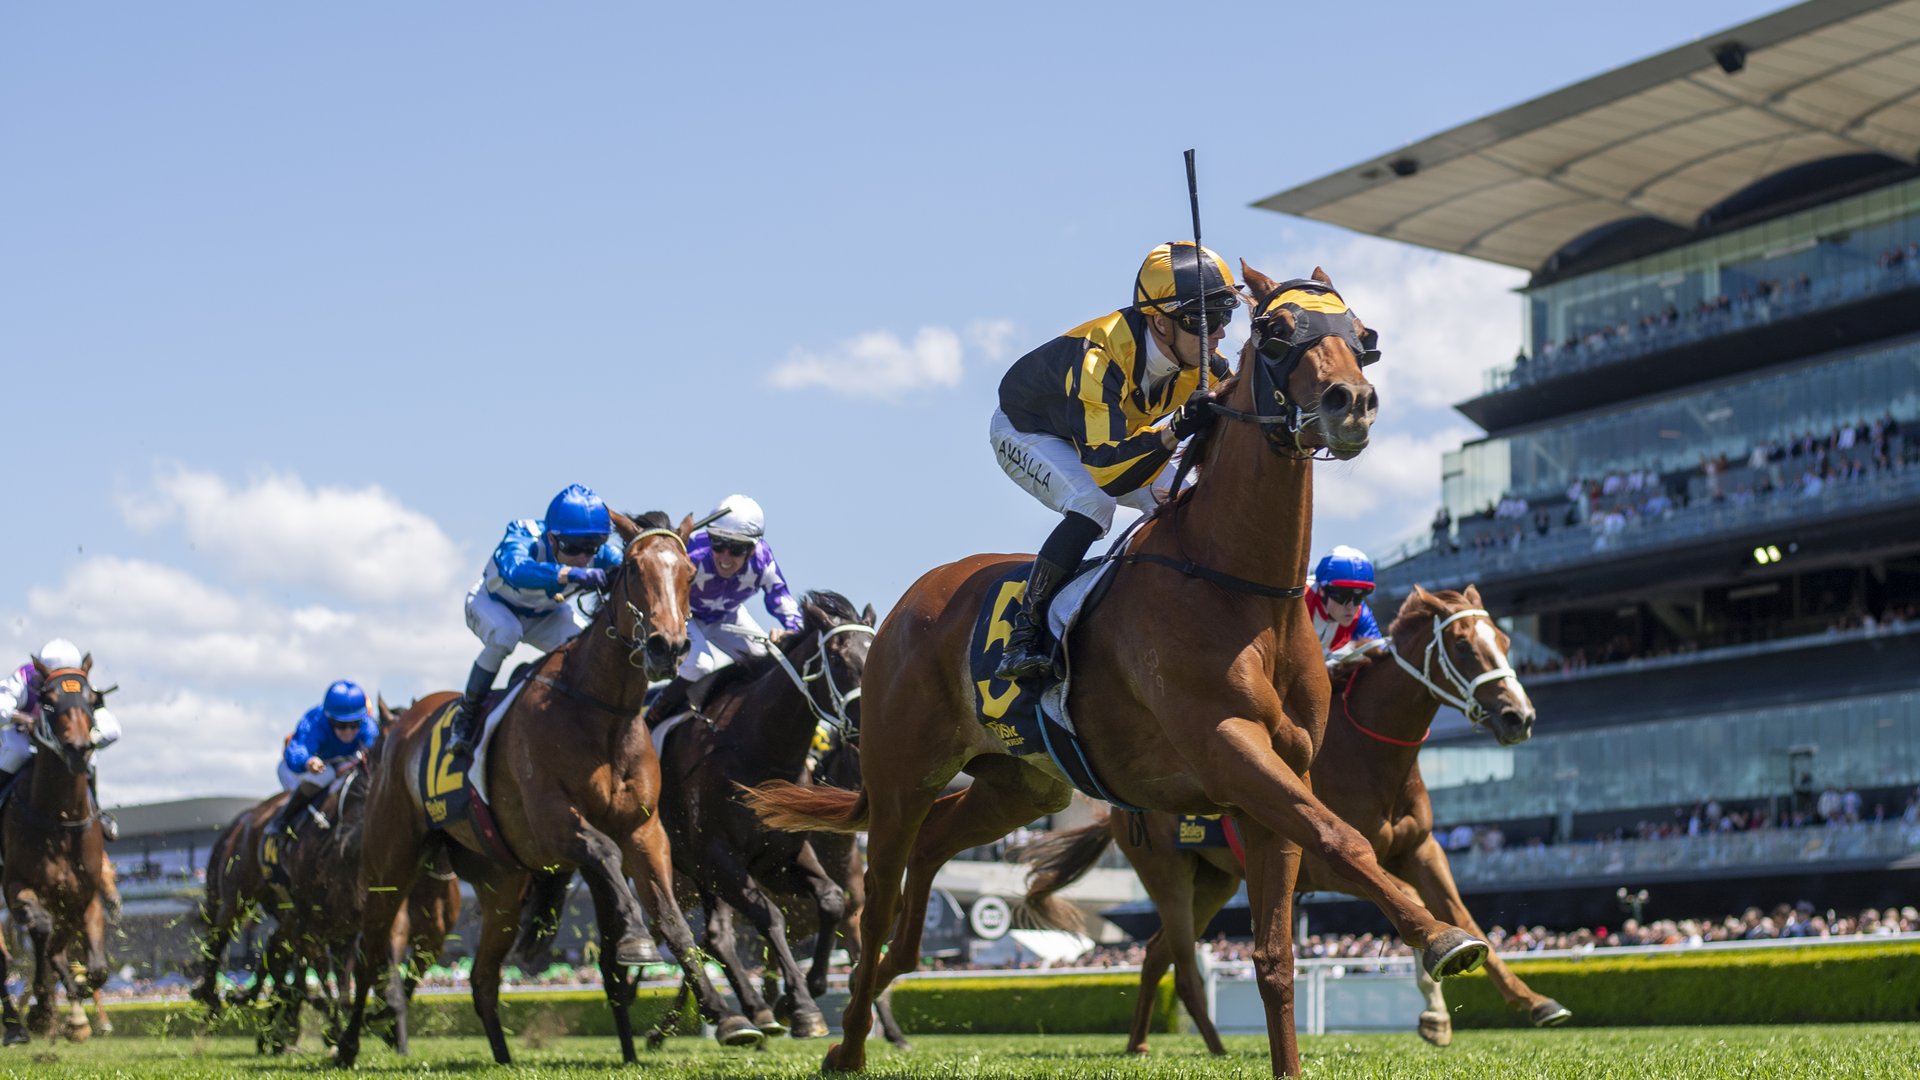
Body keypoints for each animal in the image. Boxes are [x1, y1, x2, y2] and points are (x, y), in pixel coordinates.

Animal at [0, 653, 114, 1037]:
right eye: (48, 700)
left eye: (92, 699)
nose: (78, 749)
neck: (59, 821)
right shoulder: (15, 886)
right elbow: (42, 931)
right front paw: (44, 1010)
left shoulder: (83, 896)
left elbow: (95, 967)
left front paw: (72, 1005)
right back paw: (16, 1025)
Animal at [337, 507, 756, 1060]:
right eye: (632, 569)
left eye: (688, 573)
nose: (667, 646)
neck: (600, 712)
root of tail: (400, 731)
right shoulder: (552, 820)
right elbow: (603, 853)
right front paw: (635, 940)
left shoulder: (645, 832)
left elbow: (670, 919)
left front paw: (727, 1015)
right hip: (392, 859)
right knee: (369, 948)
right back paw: (346, 1046)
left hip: (501, 884)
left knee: (482, 977)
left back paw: (501, 1057)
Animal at [656, 588, 875, 1037]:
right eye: (839, 659)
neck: (758, 749)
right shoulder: (720, 858)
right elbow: (769, 916)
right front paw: (804, 1009)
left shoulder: (778, 857)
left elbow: (831, 900)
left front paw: (803, 992)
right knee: (677, 932)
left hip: (702, 878)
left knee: (716, 936)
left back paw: (749, 1012)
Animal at [744, 263, 1482, 1076]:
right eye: (1275, 331)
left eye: (1363, 335)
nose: (1351, 402)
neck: (1241, 586)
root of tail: (911, 604)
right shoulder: (1228, 747)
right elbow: (1343, 839)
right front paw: (1444, 937)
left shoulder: (1278, 775)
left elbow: (1276, 950)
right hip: (904, 772)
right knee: (876, 897)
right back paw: (846, 1039)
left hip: (1021, 787)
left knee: (937, 848)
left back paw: (886, 982)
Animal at [1029, 588, 1566, 1053]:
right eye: (1462, 645)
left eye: (1505, 641)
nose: (1519, 716)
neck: (1369, 753)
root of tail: (1113, 804)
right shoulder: (1325, 863)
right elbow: (1409, 897)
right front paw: (1435, 1010)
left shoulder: (1421, 848)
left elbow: (1462, 913)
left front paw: (1535, 1002)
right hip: (1168, 876)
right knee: (1178, 961)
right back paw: (1203, 1045)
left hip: (1215, 882)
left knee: (1156, 953)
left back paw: (1153, 1043)